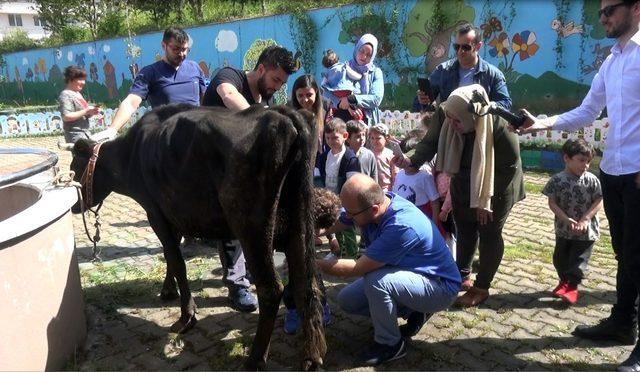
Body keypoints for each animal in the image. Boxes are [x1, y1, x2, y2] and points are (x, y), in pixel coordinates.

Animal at [71, 104, 324, 370]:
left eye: (75, 167)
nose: (74, 206)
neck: (131, 154)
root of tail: (284, 113)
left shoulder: (155, 213)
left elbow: (177, 261)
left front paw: (186, 316)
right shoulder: (174, 214)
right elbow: (170, 257)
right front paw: (168, 290)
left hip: (252, 227)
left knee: (272, 289)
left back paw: (255, 359)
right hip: (299, 223)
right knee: (307, 283)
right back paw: (312, 355)